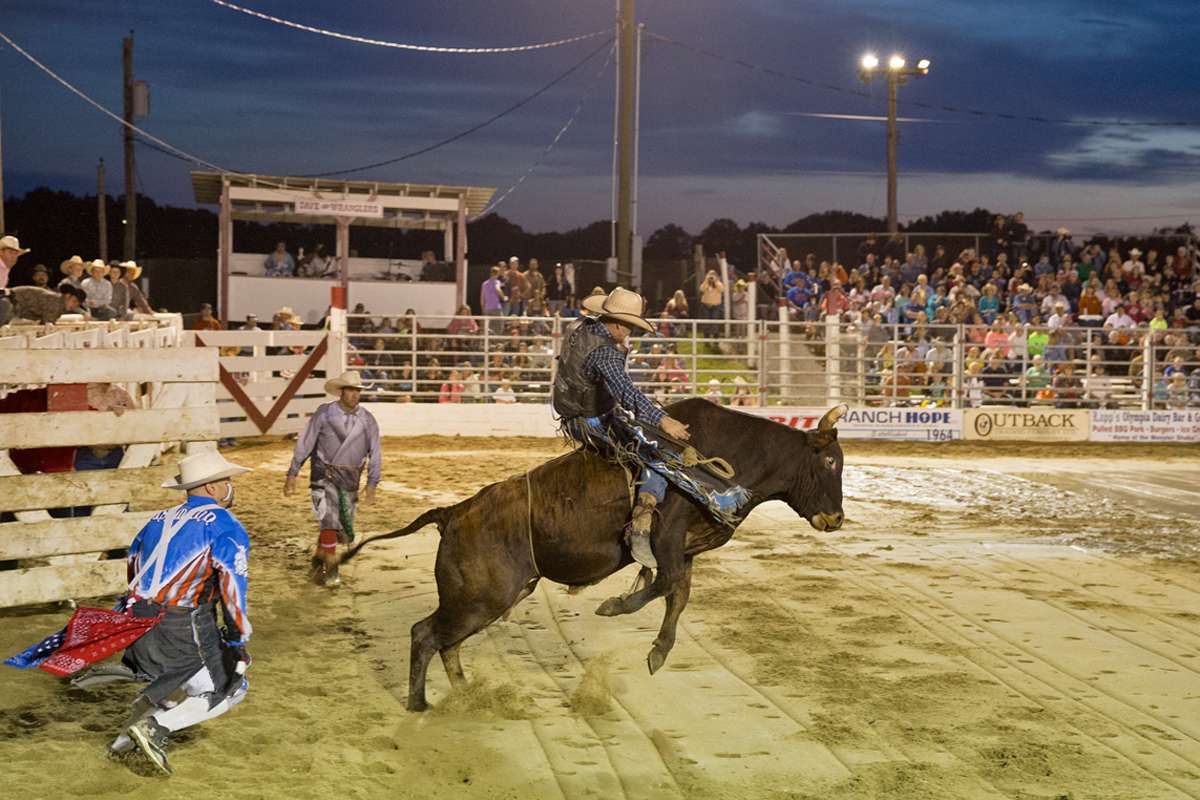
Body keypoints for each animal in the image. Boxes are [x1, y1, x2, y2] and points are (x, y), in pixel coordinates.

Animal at [333, 402, 849, 710]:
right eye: (829, 461)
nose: (836, 518)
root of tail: (454, 512)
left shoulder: (685, 550)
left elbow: (678, 595)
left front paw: (658, 651)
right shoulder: (667, 534)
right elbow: (664, 584)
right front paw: (614, 606)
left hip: (484, 600)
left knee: (447, 643)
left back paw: (465, 695)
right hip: (481, 597)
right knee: (425, 635)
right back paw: (421, 705)